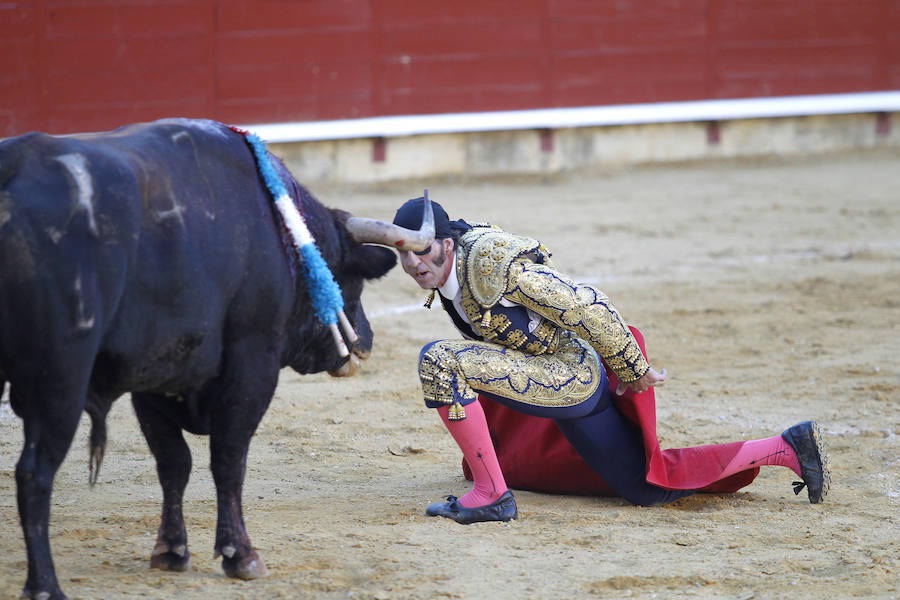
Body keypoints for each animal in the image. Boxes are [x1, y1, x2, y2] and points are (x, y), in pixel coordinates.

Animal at [0, 119, 404, 596]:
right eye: (350, 280)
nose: (367, 340)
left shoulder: (154, 380)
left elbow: (174, 463)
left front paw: (171, 551)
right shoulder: (252, 363)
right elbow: (228, 460)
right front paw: (240, 555)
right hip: (59, 382)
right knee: (35, 474)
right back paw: (45, 584)